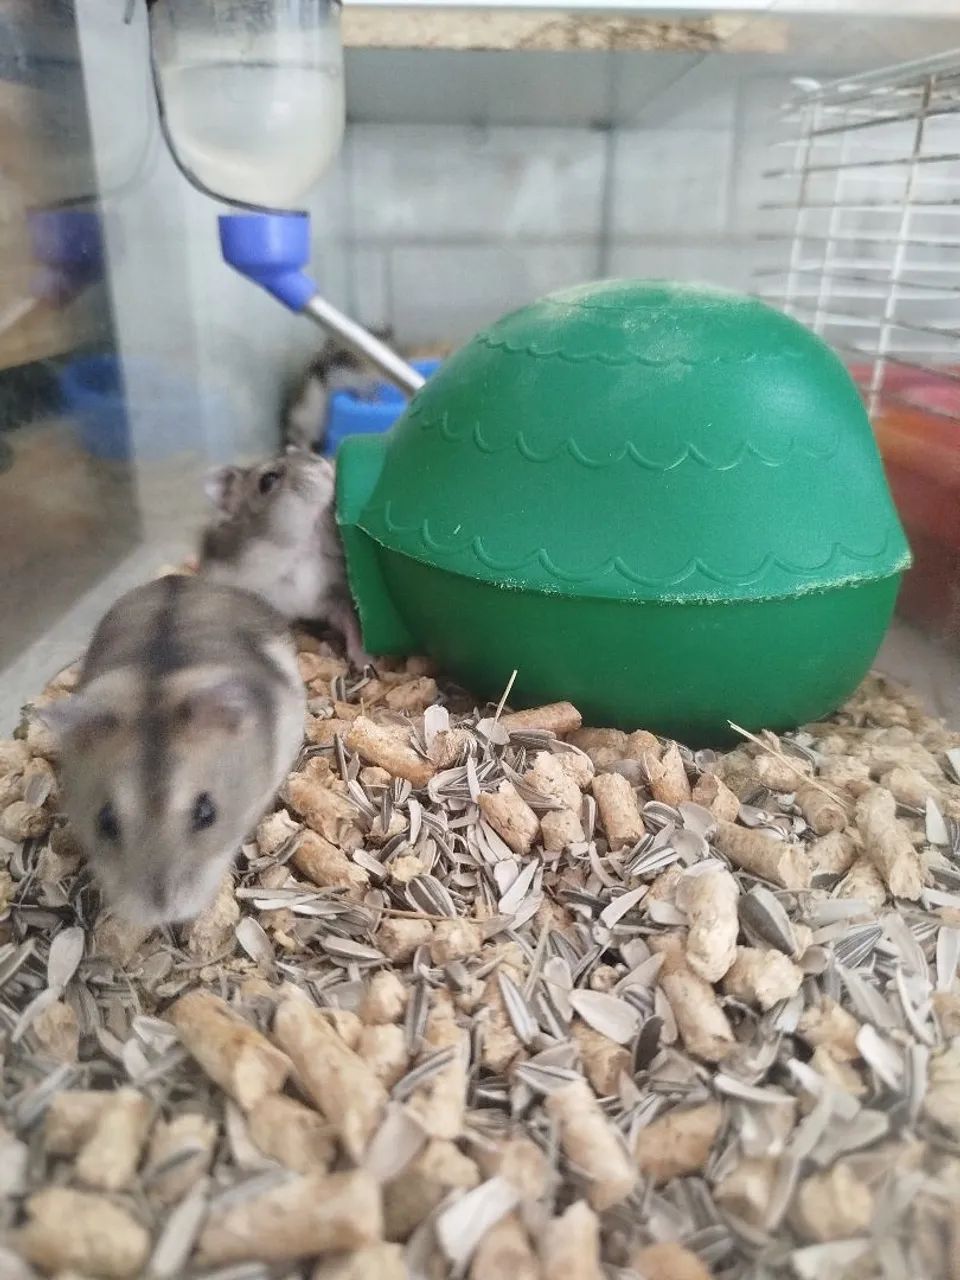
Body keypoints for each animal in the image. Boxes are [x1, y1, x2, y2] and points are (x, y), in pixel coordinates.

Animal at [199, 449, 370, 667]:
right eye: (267, 480)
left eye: (301, 451)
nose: (326, 468)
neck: (302, 549)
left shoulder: (337, 596)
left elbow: (351, 622)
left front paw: (366, 660)